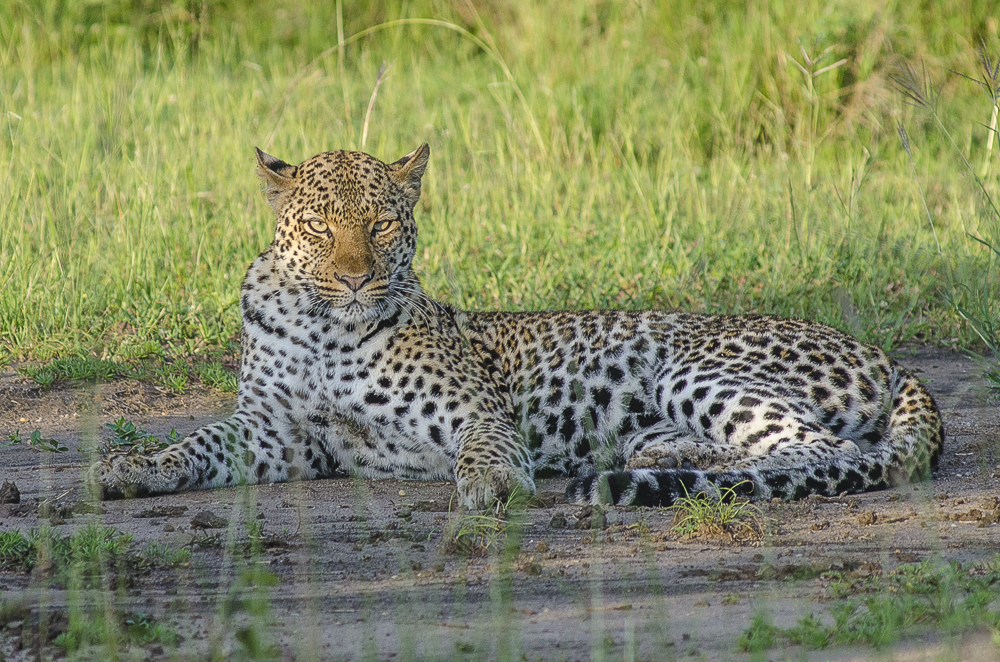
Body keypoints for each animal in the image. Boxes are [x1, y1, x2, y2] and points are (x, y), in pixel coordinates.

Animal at [90, 144, 940, 508]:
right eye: (322, 228)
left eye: (381, 224)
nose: (356, 276)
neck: (324, 326)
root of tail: (888, 357)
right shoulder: (278, 433)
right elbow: (197, 444)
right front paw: (130, 468)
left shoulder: (475, 409)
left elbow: (489, 446)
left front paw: (495, 483)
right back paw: (654, 457)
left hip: (694, 365)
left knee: (822, 450)